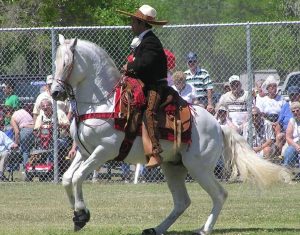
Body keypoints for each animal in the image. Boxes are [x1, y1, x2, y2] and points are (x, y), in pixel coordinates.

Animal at [51, 35, 290, 235]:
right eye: (55, 63)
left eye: (67, 64)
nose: (55, 92)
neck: (103, 103)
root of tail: (217, 125)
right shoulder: (84, 152)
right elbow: (67, 178)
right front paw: (78, 215)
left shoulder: (103, 152)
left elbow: (78, 176)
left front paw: (81, 213)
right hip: (173, 167)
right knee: (182, 202)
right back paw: (156, 229)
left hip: (198, 168)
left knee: (219, 195)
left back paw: (204, 229)